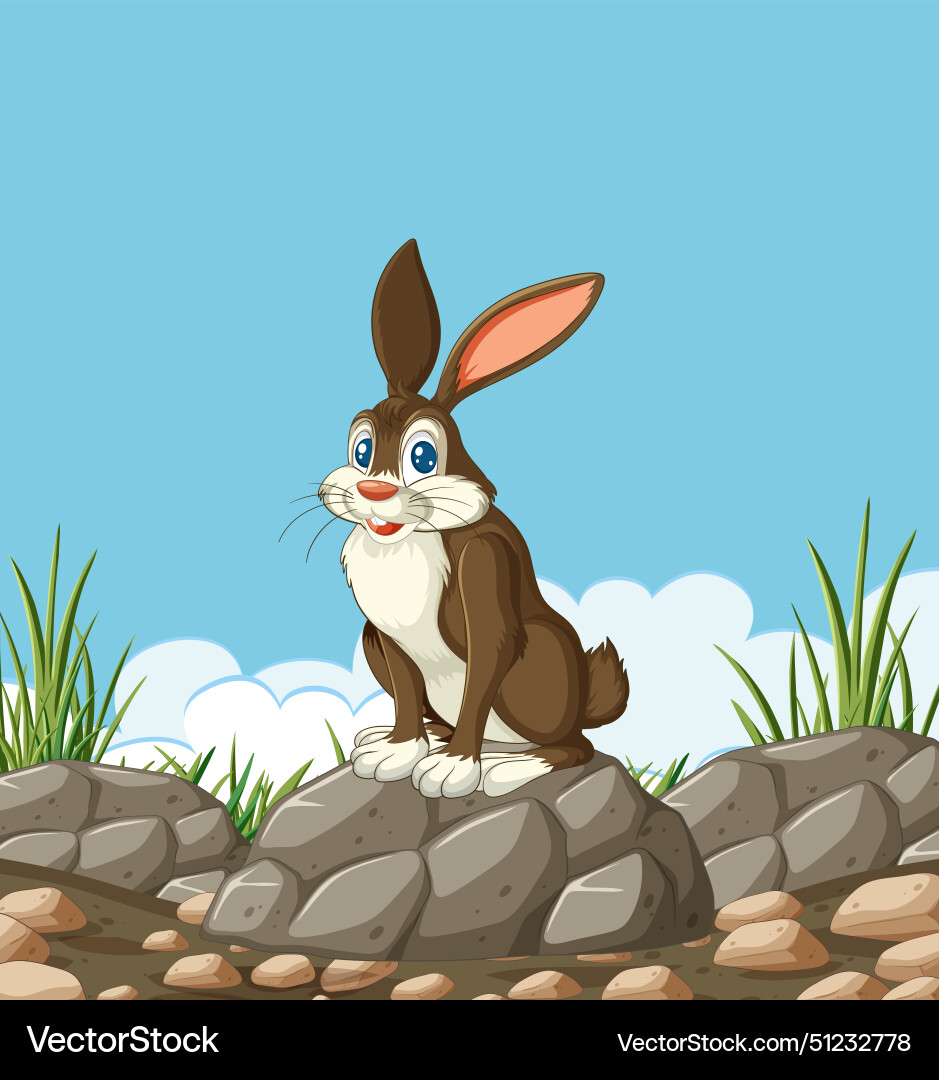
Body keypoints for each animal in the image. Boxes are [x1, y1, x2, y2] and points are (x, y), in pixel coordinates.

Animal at [317, 239, 629, 798]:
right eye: (361, 450)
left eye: (423, 456)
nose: (374, 490)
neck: (410, 537)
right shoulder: (384, 633)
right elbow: (404, 690)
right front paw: (397, 750)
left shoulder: (484, 576)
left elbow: (484, 666)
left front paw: (454, 769)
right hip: (371, 639)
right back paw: (405, 738)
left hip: (543, 663)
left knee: (573, 746)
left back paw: (507, 766)